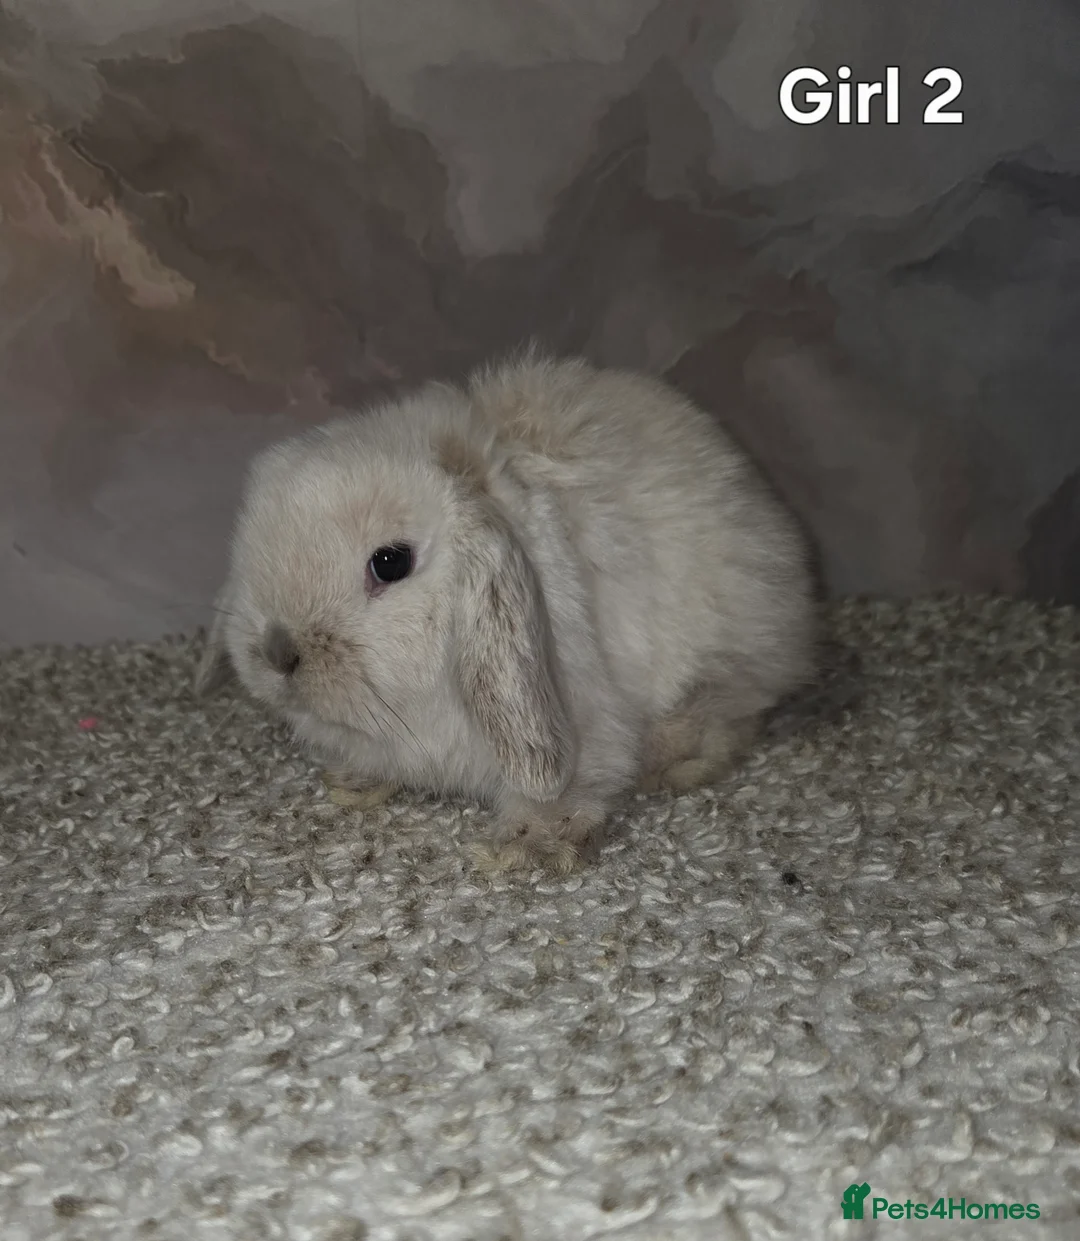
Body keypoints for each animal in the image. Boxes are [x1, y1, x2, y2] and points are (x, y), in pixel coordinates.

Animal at [195, 350, 816, 873]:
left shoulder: (587, 719)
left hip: (727, 653)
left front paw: (527, 848)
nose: (278, 652)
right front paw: (352, 783)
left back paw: (669, 762)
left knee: (726, 715)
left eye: (390, 563)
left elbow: (574, 784)